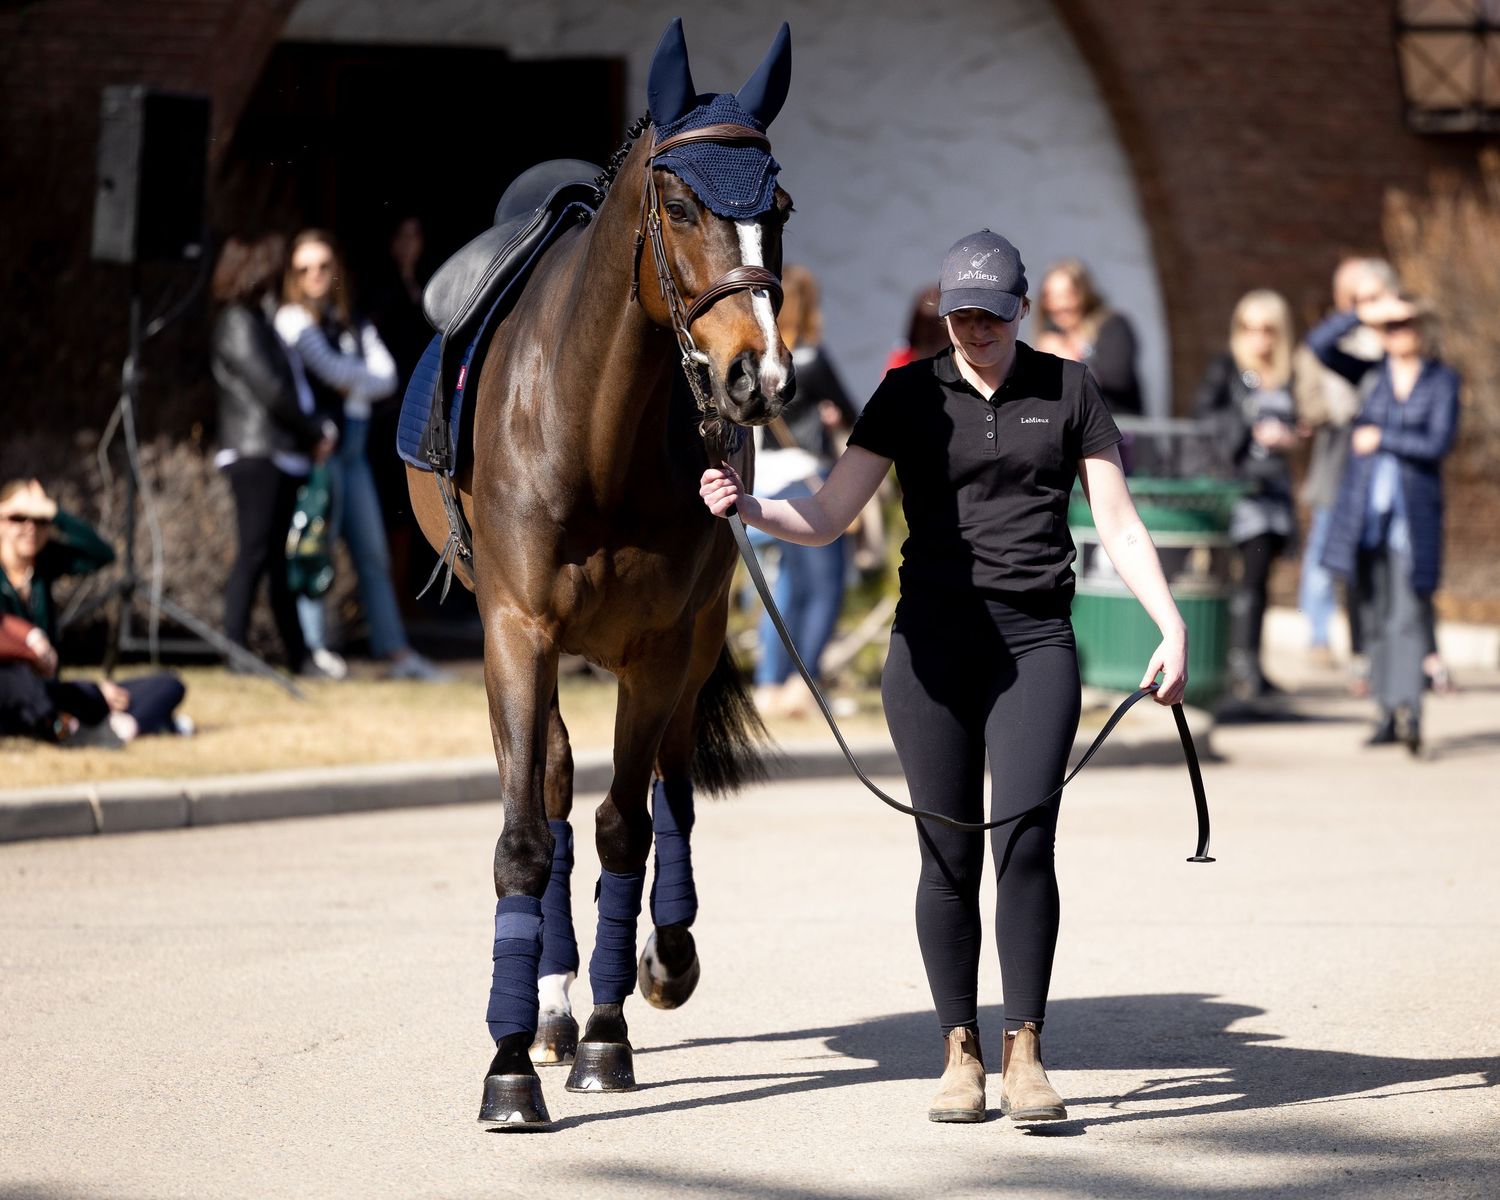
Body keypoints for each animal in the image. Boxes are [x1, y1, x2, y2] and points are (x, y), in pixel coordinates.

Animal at [405, 19, 796, 1129]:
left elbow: (629, 826)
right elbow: (525, 838)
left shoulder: (661, 645)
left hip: (695, 637)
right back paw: (548, 1004)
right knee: (548, 786)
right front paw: (511, 1061)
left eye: (780, 207)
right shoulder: (515, 631)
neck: (593, 430)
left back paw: (662, 959)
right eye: (681, 204)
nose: (760, 377)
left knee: (667, 786)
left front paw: (612, 1032)